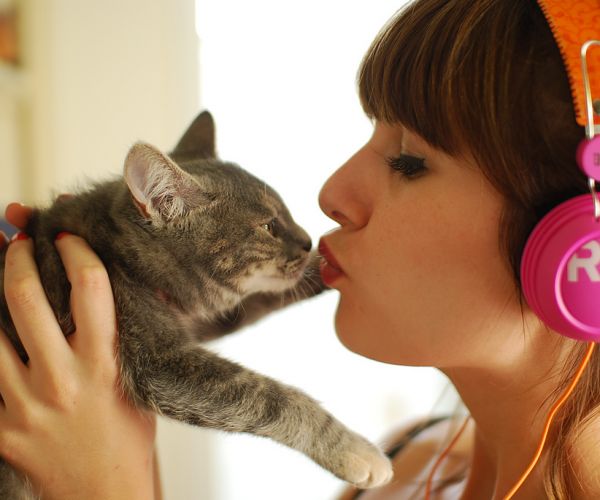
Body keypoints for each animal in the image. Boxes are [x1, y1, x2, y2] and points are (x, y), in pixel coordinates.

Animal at [0, 111, 393, 498]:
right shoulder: (159, 363)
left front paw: (330, 267)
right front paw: (353, 450)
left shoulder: (202, 318)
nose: (309, 241)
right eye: (269, 226)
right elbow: (267, 395)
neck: (120, 256)